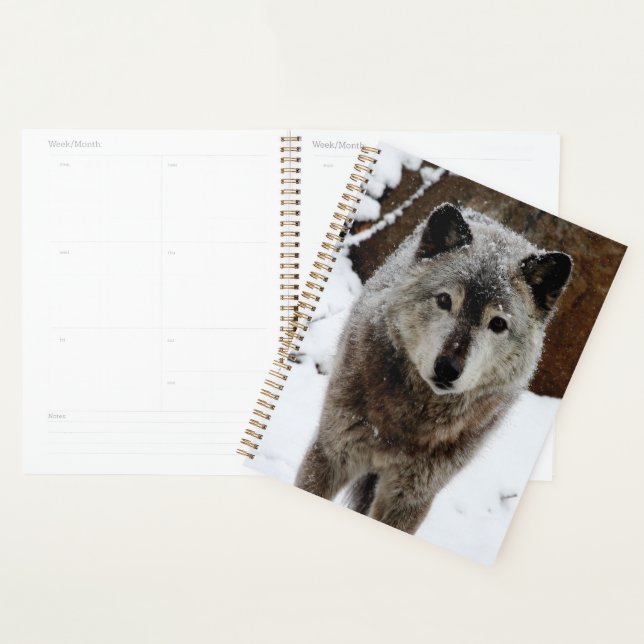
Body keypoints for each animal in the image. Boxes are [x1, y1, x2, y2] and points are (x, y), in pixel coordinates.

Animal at [295, 203, 572, 534]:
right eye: (444, 300)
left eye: (498, 324)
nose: (448, 369)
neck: (408, 420)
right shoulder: (332, 453)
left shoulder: (411, 496)